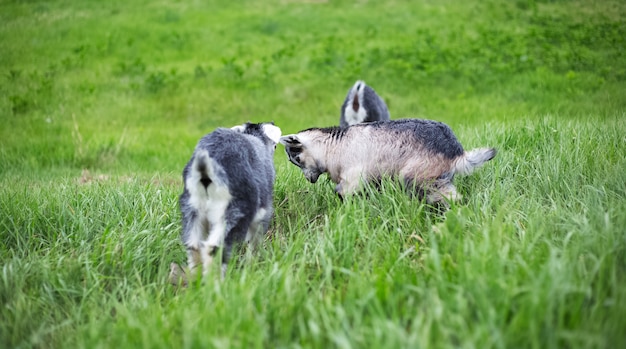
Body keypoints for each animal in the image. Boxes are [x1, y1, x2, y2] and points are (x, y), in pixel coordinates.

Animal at [169, 121, 280, 284]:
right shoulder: (262, 214)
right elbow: (254, 245)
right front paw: (252, 267)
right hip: (234, 212)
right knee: (214, 248)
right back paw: (217, 283)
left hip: (192, 208)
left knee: (194, 246)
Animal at [280, 118, 494, 203]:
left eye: (296, 158)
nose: (309, 179)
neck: (333, 147)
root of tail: (457, 152)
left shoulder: (353, 177)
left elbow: (342, 193)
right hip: (438, 177)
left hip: (420, 174)